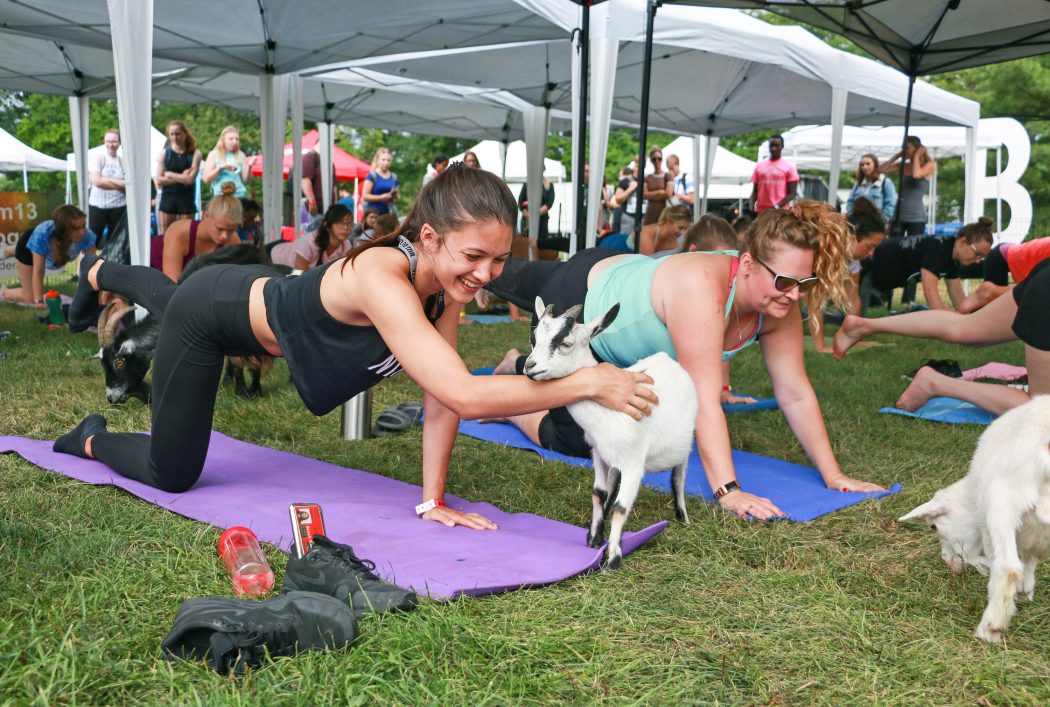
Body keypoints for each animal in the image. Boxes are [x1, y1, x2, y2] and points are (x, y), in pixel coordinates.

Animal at [525, 296, 697, 567]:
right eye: (534, 339)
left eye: (565, 343)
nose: (530, 366)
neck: (608, 414)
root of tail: (668, 360)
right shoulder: (598, 455)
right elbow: (599, 492)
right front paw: (594, 538)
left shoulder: (634, 466)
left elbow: (621, 507)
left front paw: (612, 557)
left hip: (685, 446)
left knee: (678, 479)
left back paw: (684, 519)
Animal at [894, 394, 1050, 642]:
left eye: (933, 526)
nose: (947, 563)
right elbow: (1031, 556)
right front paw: (1026, 588)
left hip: (1002, 502)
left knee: (1007, 567)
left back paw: (989, 629)